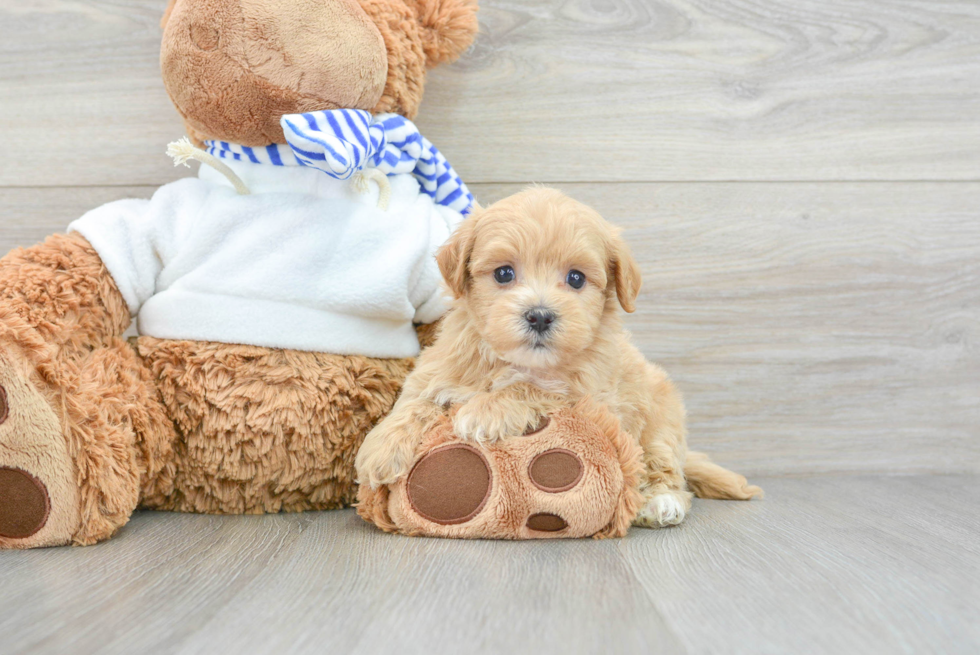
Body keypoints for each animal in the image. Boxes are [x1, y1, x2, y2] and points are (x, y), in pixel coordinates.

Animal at [356, 187, 760, 524]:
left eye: (576, 278)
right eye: (504, 273)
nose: (539, 315)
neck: (515, 360)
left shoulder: (587, 396)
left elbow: (533, 388)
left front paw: (486, 410)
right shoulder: (440, 367)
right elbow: (414, 401)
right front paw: (380, 448)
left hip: (660, 420)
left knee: (664, 465)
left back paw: (662, 502)